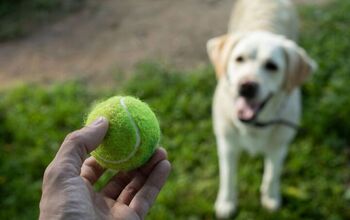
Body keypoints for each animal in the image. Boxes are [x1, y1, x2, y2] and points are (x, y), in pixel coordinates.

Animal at [206, 0, 316, 217]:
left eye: (272, 66)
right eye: (239, 59)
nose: (246, 86)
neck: (254, 125)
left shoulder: (279, 146)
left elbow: (272, 174)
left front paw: (271, 197)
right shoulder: (227, 144)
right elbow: (228, 176)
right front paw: (226, 202)